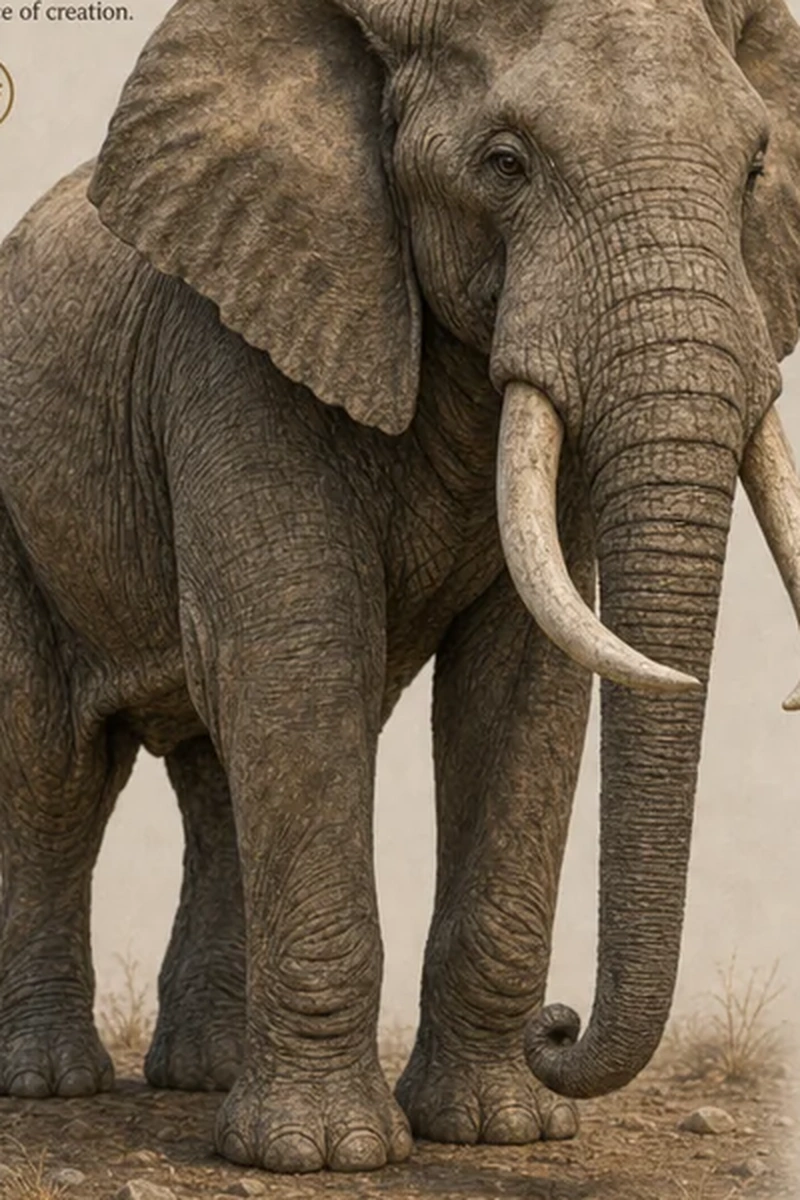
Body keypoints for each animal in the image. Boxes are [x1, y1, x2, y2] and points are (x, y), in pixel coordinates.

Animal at [1, 0, 800, 1177]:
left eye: (752, 169)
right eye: (504, 163)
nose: (558, 1024)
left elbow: (522, 683)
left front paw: (498, 1128)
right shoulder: (231, 346)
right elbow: (300, 654)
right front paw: (321, 1156)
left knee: (215, 771)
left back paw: (202, 1075)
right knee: (55, 770)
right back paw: (52, 1084)